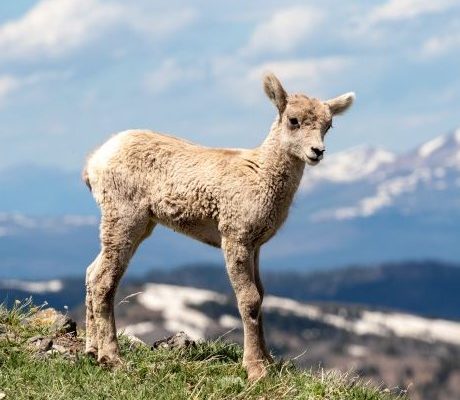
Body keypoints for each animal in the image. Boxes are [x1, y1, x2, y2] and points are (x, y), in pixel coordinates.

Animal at [83, 72, 356, 382]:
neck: (260, 174)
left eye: (328, 125)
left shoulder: (255, 245)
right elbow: (249, 299)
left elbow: (261, 294)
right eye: (293, 120)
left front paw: (269, 361)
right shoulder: (235, 237)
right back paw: (112, 359)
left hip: (138, 225)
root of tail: (93, 163)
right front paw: (255, 369)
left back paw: (92, 351)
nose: (317, 151)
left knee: (92, 271)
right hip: (124, 217)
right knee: (103, 279)